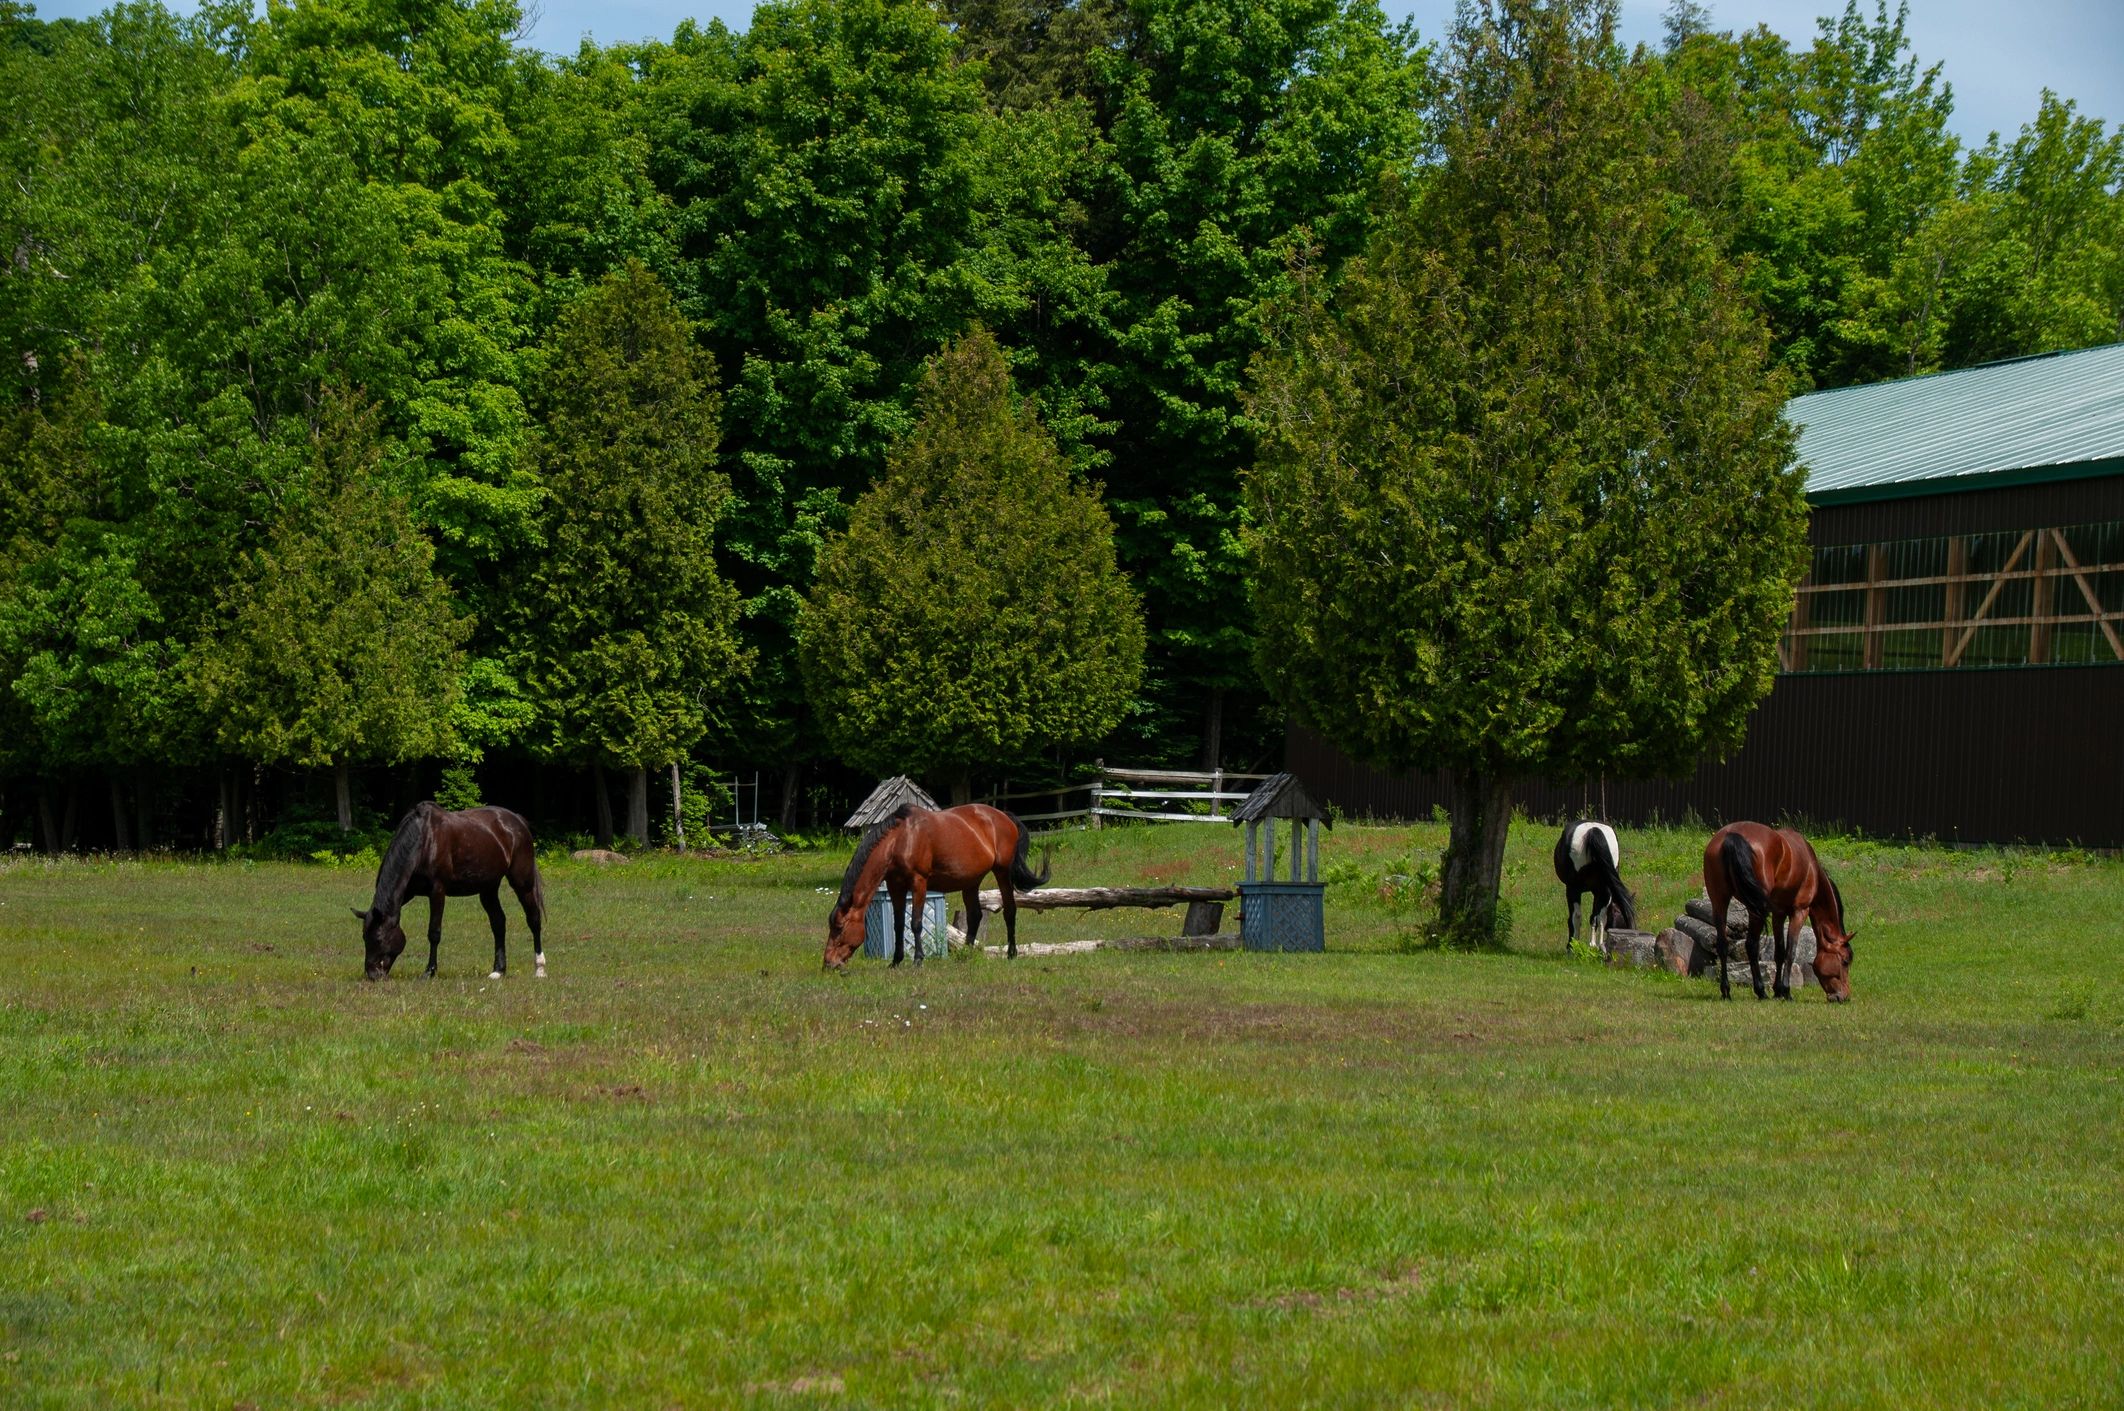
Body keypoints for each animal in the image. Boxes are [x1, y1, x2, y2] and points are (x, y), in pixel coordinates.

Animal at [353, 802, 546, 982]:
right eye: (364, 937)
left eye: (379, 939)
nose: (373, 974)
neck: (424, 841)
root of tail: (517, 821)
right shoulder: (407, 892)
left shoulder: (437, 891)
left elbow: (434, 932)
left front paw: (429, 971)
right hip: (488, 888)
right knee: (498, 923)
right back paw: (498, 970)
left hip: (522, 882)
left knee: (534, 919)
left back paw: (540, 969)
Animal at [824, 803, 1050, 970]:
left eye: (839, 927)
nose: (828, 963)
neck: (901, 839)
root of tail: (1003, 816)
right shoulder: (895, 887)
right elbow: (898, 924)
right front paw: (896, 961)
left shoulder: (919, 883)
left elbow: (915, 923)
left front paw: (918, 960)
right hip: (971, 881)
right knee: (975, 916)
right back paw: (966, 955)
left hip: (1002, 872)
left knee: (1009, 910)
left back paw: (1012, 953)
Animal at [1553, 819, 1636, 955]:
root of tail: (1593, 830)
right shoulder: (1599, 892)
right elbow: (1597, 917)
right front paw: (1596, 946)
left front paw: (1573, 947)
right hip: (1604, 890)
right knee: (1599, 917)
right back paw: (1596, 946)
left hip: (1573, 889)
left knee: (1576, 916)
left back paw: (1573, 948)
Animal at [1701, 821, 1855, 1002]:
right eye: (1845, 961)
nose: (1843, 996)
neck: (1811, 867)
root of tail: (1731, 835)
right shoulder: (1799, 912)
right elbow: (1790, 951)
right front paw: (1786, 991)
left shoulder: (1778, 914)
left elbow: (1779, 952)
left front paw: (1777, 990)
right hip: (1755, 909)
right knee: (1751, 945)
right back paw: (1760, 991)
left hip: (1719, 901)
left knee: (1723, 944)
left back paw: (1726, 991)